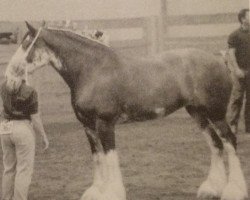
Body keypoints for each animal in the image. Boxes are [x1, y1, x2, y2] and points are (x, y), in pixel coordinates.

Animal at [4, 22, 247, 200]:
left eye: (26, 45)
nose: (9, 79)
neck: (92, 70)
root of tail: (220, 60)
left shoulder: (105, 123)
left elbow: (110, 157)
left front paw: (112, 193)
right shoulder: (88, 126)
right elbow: (97, 158)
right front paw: (96, 191)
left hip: (215, 113)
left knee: (229, 141)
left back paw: (234, 190)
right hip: (197, 113)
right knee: (216, 144)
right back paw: (211, 189)